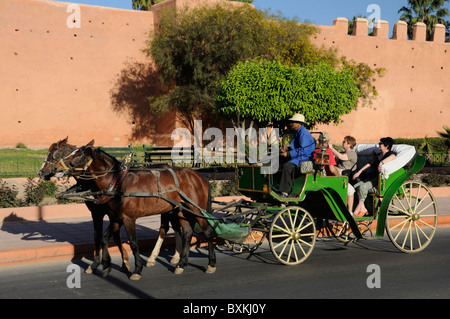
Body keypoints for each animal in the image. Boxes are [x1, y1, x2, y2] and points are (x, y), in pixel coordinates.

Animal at [50, 142, 215, 280]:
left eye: (78, 155)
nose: (55, 169)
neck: (117, 183)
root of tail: (199, 176)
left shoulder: (128, 218)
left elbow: (133, 243)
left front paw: (137, 270)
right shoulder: (116, 217)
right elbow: (104, 237)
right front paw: (107, 265)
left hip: (195, 208)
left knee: (207, 231)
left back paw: (211, 264)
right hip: (181, 210)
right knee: (187, 233)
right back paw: (181, 264)